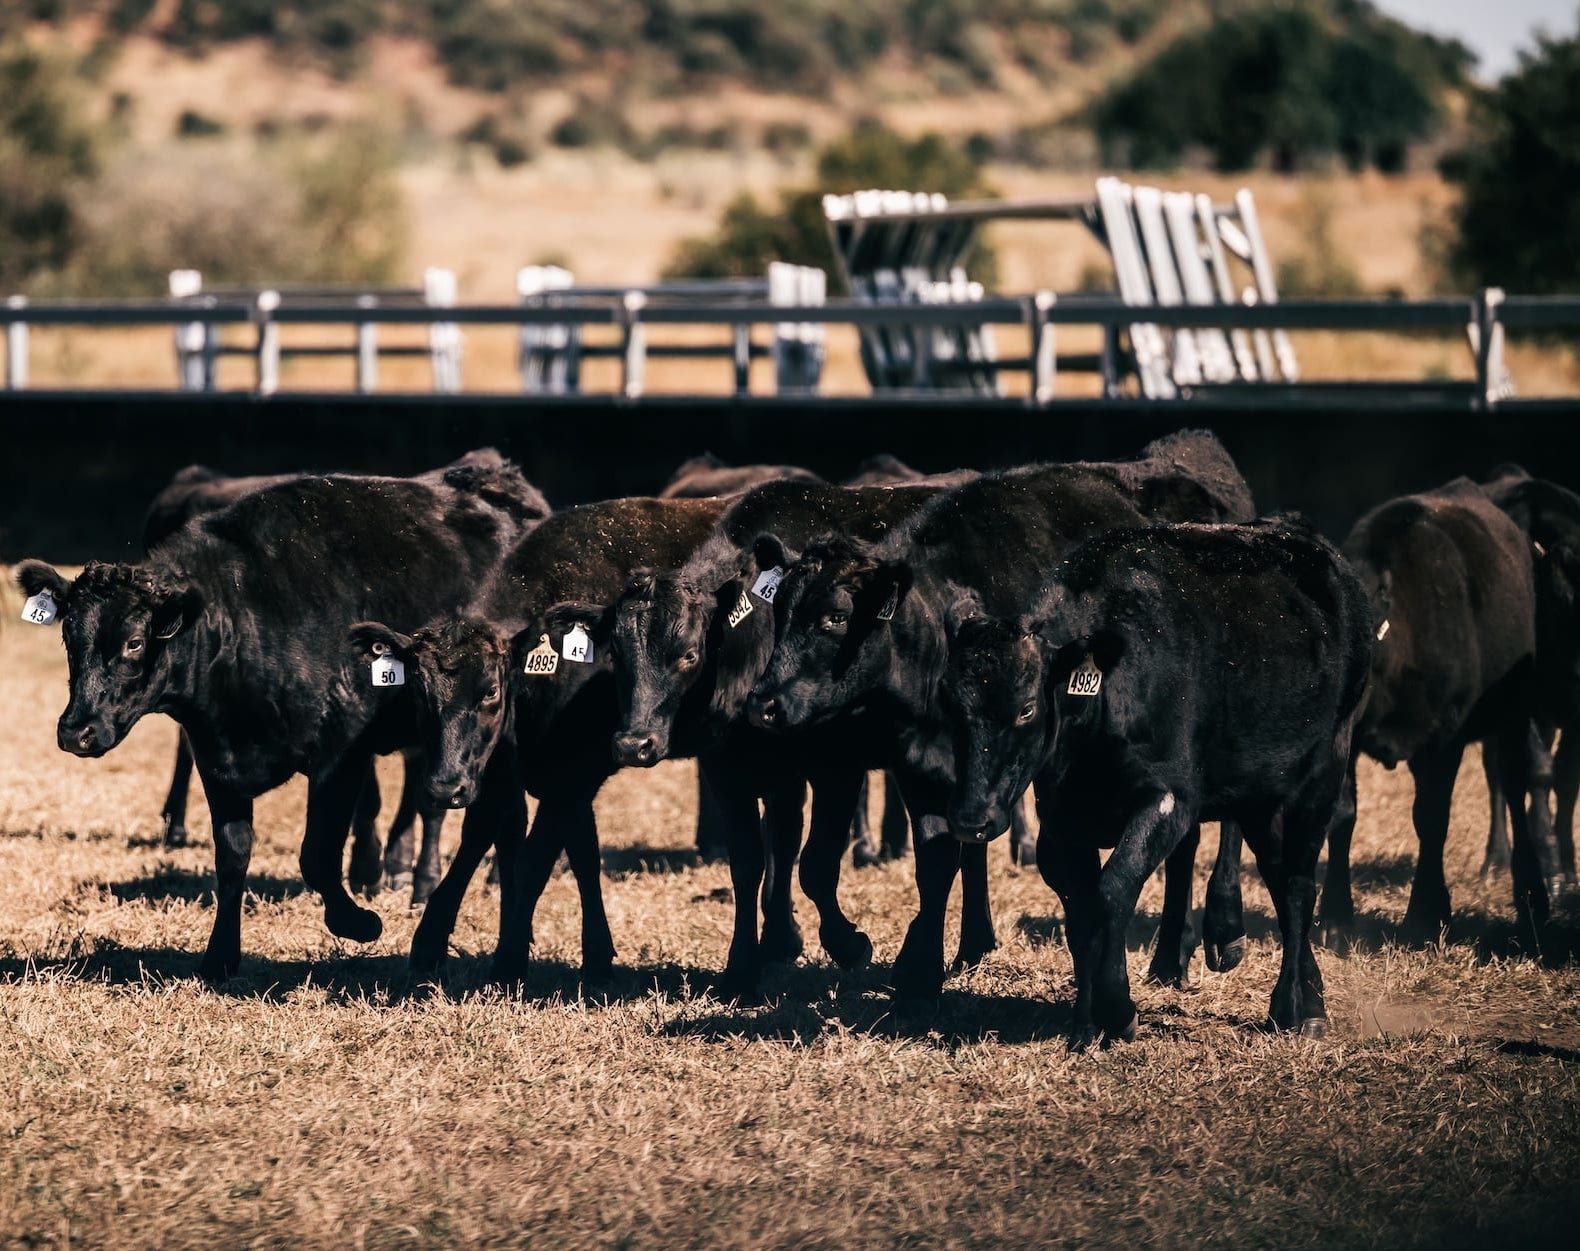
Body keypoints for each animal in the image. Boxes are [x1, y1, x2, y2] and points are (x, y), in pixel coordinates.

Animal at [14, 453, 549, 980]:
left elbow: (316, 856)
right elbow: (232, 855)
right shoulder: (216, 759)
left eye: (133, 642)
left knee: (470, 810)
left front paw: (358, 923)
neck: (248, 621)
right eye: (69, 638)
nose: (76, 731)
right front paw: (220, 956)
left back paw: (432, 886)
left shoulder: (340, 755)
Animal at [747, 430, 1258, 1000]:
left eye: (835, 617)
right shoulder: (906, 765)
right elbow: (917, 861)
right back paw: (1171, 953)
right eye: (778, 608)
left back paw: (1219, 930)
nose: (763, 702)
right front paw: (911, 964)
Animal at [940, 519, 1372, 1045]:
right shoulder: (1060, 820)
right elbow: (1081, 912)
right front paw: (1085, 1022)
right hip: (1258, 796)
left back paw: (1298, 1008)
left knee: (1297, 886)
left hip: (1323, 772)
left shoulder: (1168, 802)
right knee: (1276, 874)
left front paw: (1117, 1009)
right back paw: (1308, 988)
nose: (970, 820)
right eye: (949, 702)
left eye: (1026, 708)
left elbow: (1113, 889)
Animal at [1321, 477, 1565, 959]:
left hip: (1513, 716)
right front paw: (1335, 918)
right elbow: (1342, 816)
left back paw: (1533, 895)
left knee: (1515, 787)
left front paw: (1426, 914)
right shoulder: (1348, 744)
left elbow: (1431, 818)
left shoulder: (1443, 740)